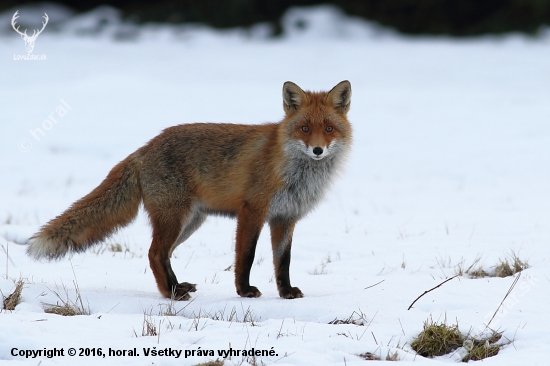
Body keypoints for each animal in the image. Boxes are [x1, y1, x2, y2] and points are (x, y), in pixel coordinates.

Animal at [27, 80, 354, 300]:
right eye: (304, 128)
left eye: (328, 129)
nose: (317, 150)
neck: (295, 172)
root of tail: (144, 149)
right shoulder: (252, 212)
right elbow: (246, 257)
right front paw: (244, 290)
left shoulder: (285, 218)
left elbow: (282, 261)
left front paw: (285, 292)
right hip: (175, 218)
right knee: (154, 253)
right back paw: (171, 294)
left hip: (190, 222)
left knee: (163, 255)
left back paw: (176, 287)